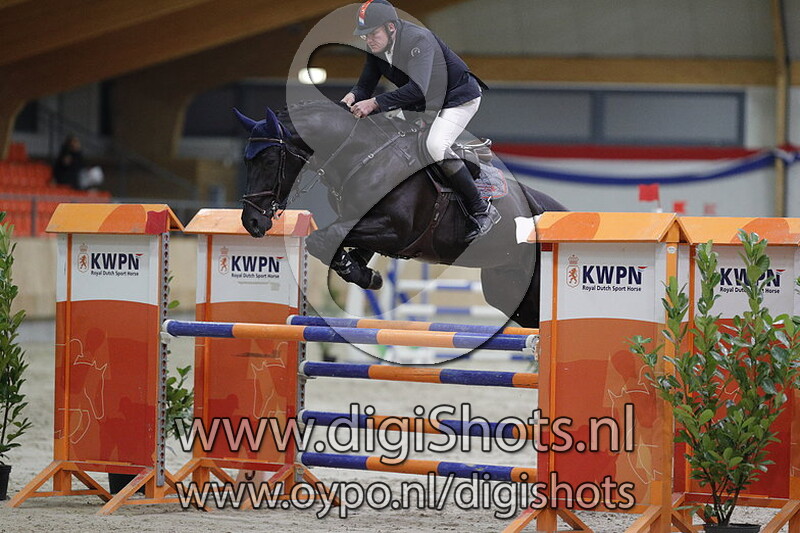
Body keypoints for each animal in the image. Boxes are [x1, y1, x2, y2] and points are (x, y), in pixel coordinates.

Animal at [235, 100, 566, 328]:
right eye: (246, 161)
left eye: (268, 161)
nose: (251, 221)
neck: (361, 156)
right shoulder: (364, 224)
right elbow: (336, 243)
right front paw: (364, 273)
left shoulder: (395, 230)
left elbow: (323, 239)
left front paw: (365, 275)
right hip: (508, 289)